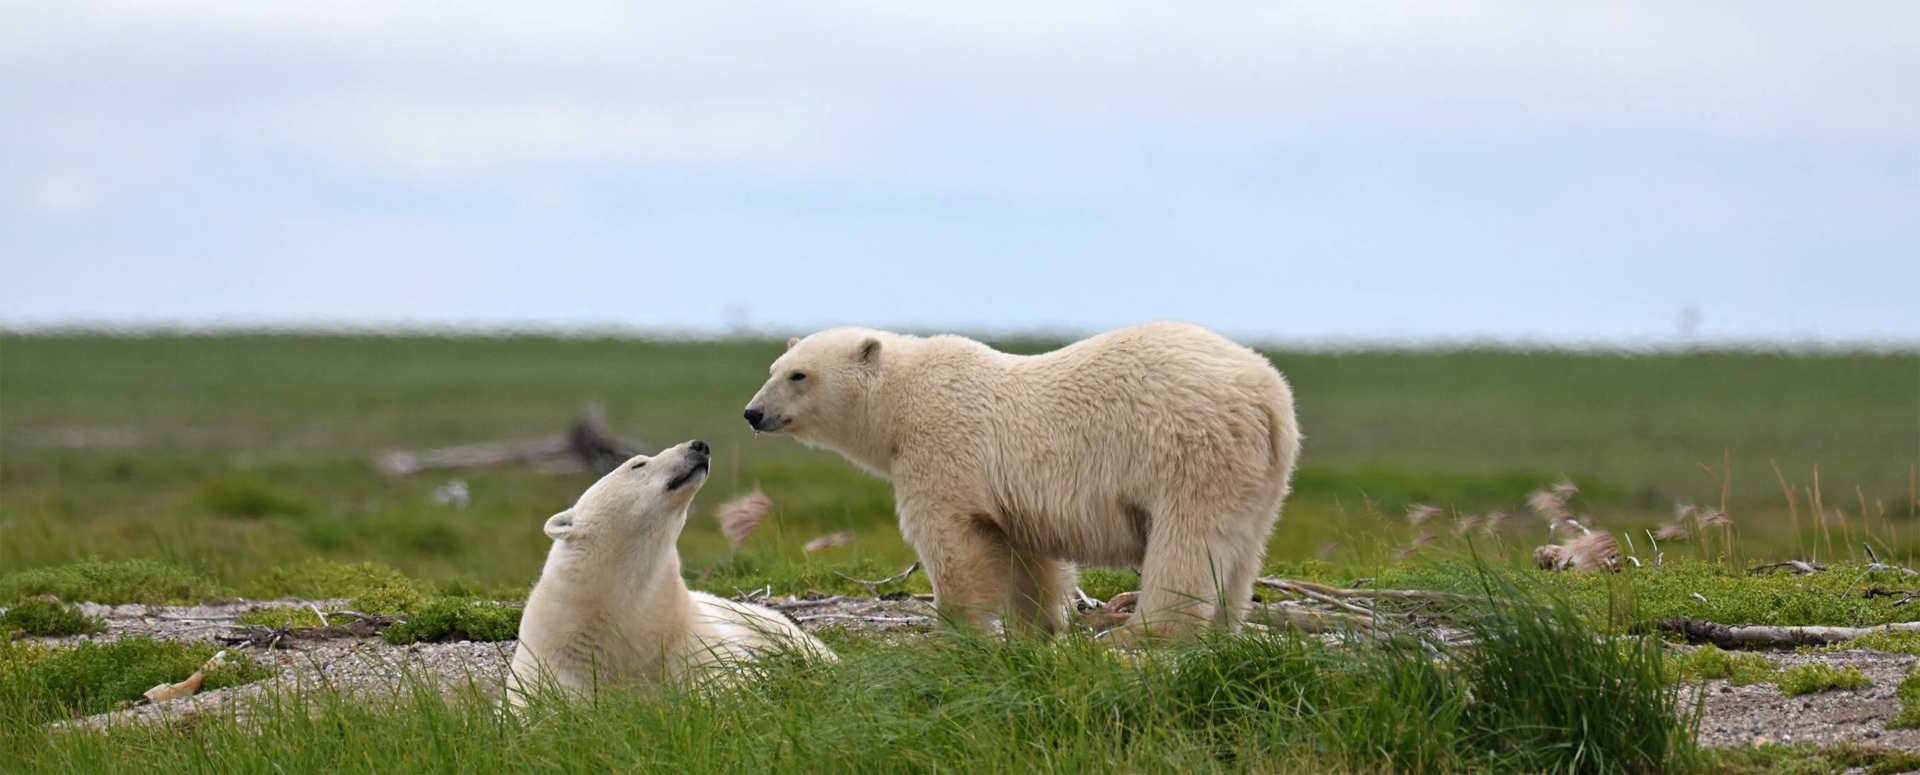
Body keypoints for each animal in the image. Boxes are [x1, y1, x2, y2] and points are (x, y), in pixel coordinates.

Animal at [507, 440, 834, 704]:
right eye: (638, 463)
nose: (699, 445)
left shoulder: (684, 635)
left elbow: (731, 675)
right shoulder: (552, 656)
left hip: (765, 623)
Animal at [742, 321, 1299, 640]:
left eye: (798, 375)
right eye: (773, 366)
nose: (753, 413)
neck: (901, 402)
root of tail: (1267, 393)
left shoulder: (943, 452)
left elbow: (952, 544)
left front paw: (957, 631)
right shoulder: (1014, 497)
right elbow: (1028, 558)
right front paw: (1041, 627)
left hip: (1187, 450)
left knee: (1185, 541)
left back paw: (1143, 634)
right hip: (1264, 473)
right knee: (1243, 549)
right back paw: (1224, 629)